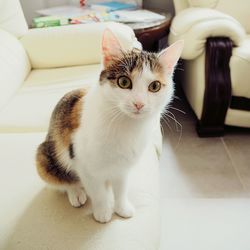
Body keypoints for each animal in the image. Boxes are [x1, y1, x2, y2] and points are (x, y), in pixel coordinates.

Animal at [35, 28, 184, 224]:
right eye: (124, 82)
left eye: (155, 86)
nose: (139, 104)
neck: (125, 124)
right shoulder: (84, 163)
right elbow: (97, 191)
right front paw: (103, 211)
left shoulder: (123, 166)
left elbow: (121, 187)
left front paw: (121, 207)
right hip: (45, 157)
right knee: (63, 180)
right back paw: (75, 192)